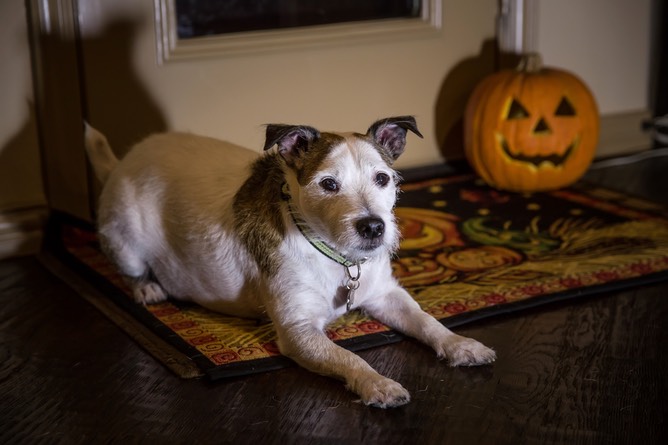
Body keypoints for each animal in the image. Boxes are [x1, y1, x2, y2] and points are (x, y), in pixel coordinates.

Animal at [83, 116, 494, 408]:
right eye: (328, 184)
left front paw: (460, 344)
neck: (338, 256)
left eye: (383, 178)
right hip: (124, 236)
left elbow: (427, 320)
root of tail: (124, 160)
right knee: (129, 268)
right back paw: (146, 288)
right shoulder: (300, 332)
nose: (374, 227)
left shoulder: (387, 295)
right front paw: (377, 383)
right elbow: (347, 357)